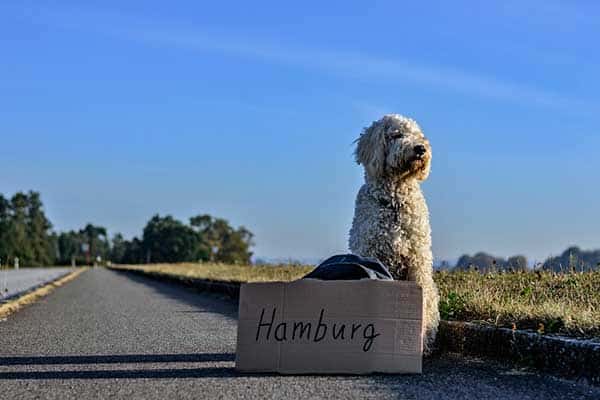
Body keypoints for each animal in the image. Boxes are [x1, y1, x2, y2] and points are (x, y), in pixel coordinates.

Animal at [346, 112, 440, 354]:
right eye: (397, 135)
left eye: (418, 135)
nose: (420, 148)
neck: (394, 202)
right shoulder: (370, 252)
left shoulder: (418, 259)